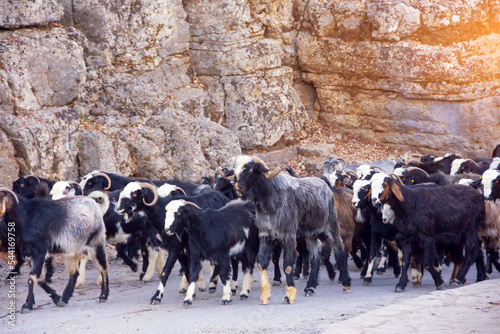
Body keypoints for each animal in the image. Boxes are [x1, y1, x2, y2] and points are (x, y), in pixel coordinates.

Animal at [229, 155, 350, 304]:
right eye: (234, 170)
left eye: (251, 169)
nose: (238, 188)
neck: (271, 199)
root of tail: (326, 186)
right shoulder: (266, 236)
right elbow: (261, 263)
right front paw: (265, 296)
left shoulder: (289, 235)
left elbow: (287, 265)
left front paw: (289, 295)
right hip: (310, 234)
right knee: (315, 257)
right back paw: (310, 287)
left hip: (331, 227)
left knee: (340, 250)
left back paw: (346, 284)